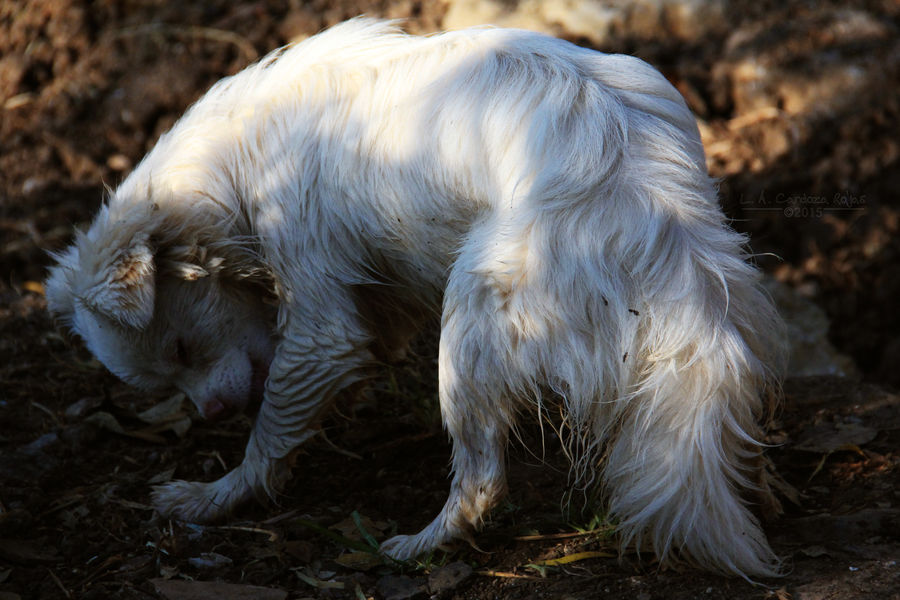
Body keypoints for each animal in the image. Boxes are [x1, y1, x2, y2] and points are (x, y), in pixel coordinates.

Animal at [45, 18, 784, 580]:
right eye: (167, 375)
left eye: (180, 347)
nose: (211, 412)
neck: (234, 164)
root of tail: (652, 215)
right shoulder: (372, 300)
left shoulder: (319, 313)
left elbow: (273, 428)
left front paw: (213, 496)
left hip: (469, 322)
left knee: (482, 481)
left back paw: (416, 546)